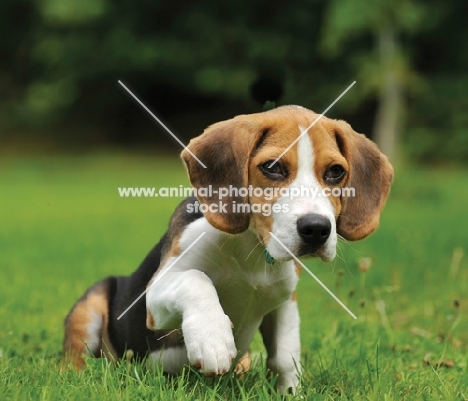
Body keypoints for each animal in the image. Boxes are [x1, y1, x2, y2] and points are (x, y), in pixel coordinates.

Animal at [61, 104, 392, 392]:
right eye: (272, 167)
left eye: (335, 172)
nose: (317, 229)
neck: (253, 247)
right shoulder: (154, 299)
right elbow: (196, 279)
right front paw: (213, 339)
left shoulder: (285, 299)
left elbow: (285, 357)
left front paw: (289, 392)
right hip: (92, 305)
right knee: (75, 357)